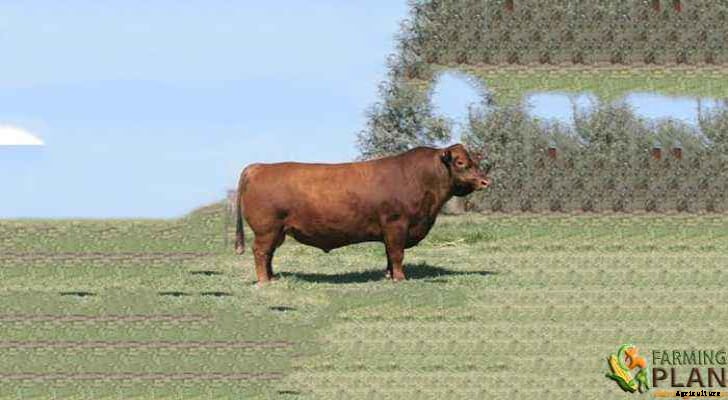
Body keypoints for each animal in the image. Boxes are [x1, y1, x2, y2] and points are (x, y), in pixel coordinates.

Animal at [234, 143, 491, 285]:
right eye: (460, 162)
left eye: (472, 160)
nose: (485, 181)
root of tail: (259, 167)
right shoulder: (397, 225)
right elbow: (397, 254)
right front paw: (400, 278)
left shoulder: (392, 231)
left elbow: (389, 254)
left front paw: (389, 275)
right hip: (267, 229)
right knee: (261, 253)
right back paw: (265, 281)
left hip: (277, 231)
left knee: (269, 255)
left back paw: (272, 277)